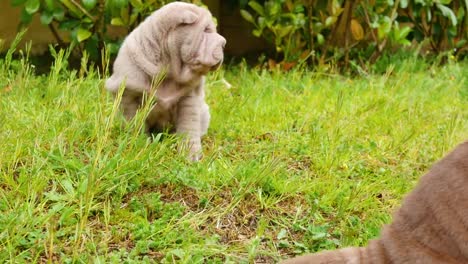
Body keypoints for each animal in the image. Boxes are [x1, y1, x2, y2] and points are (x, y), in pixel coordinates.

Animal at [105, 1, 225, 161]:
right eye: (206, 30)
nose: (224, 43)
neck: (168, 68)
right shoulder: (128, 95)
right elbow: (135, 123)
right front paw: (138, 145)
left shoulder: (189, 97)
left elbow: (189, 126)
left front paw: (191, 154)